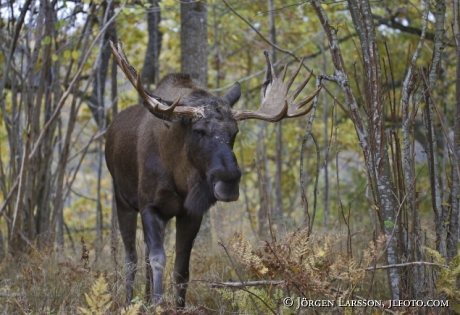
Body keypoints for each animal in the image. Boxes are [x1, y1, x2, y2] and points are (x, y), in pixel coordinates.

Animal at [105, 40, 320, 308]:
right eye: (198, 131)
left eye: (234, 132)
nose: (229, 180)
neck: (180, 177)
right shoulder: (149, 205)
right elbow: (157, 259)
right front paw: (156, 305)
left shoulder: (191, 213)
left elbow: (181, 269)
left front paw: (174, 306)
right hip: (122, 199)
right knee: (131, 256)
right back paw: (129, 301)